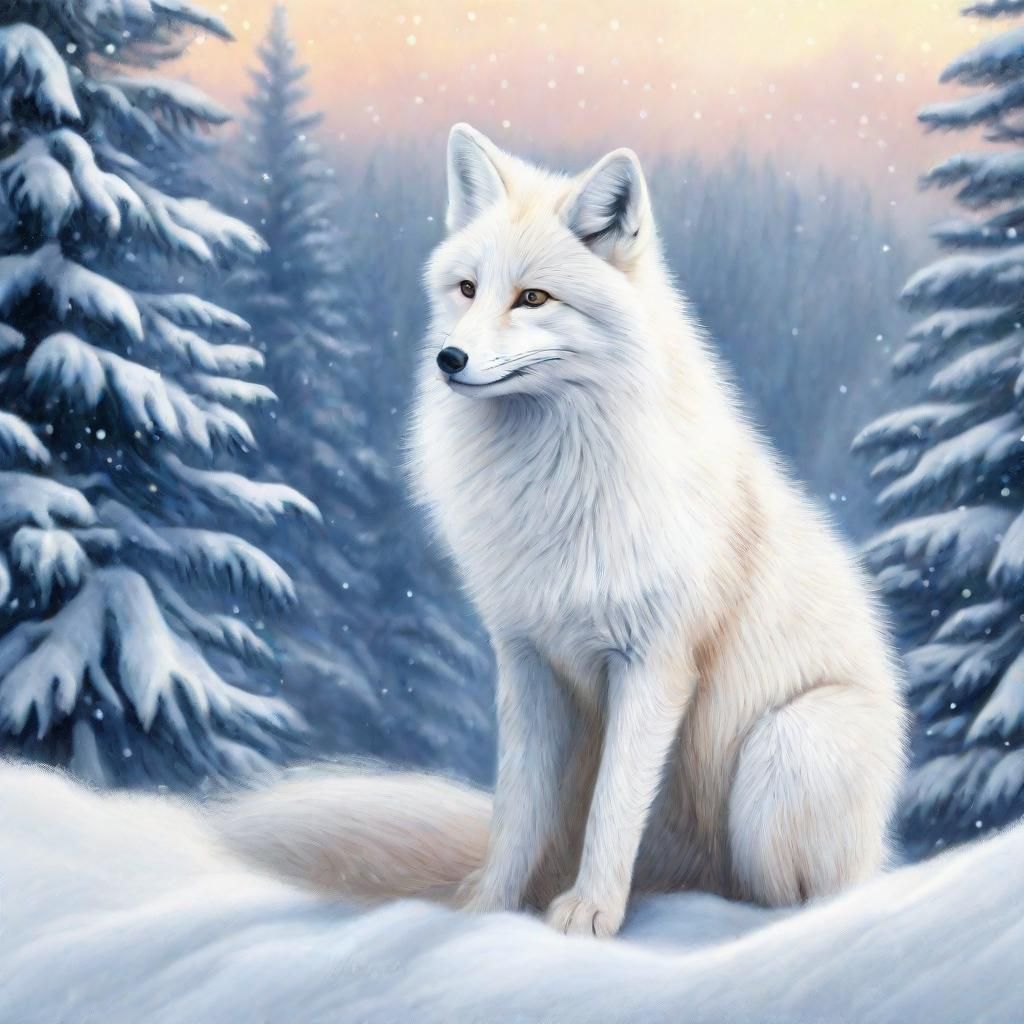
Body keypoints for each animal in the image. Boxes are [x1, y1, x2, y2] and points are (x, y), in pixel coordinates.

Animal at [214, 124, 908, 938]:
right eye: (468, 289)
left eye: (534, 298)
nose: (449, 359)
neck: (556, 482)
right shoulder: (525, 658)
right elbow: (518, 807)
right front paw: (488, 908)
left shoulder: (653, 664)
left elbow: (615, 804)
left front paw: (591, 913)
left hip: (787, 748)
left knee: (798, 892)